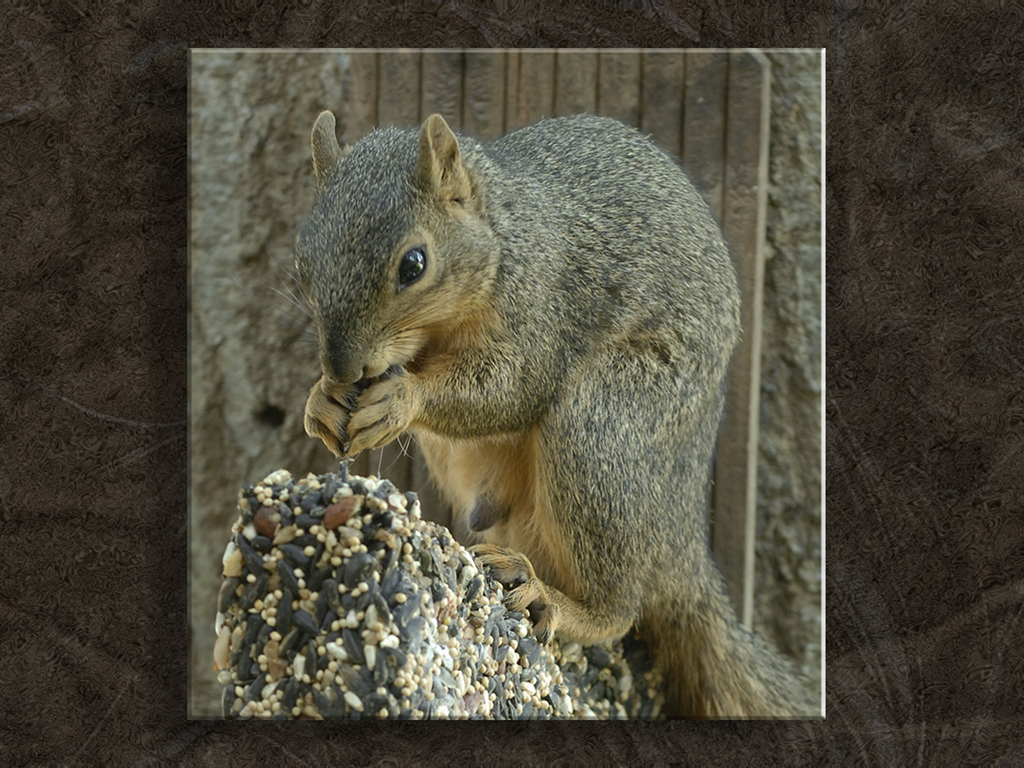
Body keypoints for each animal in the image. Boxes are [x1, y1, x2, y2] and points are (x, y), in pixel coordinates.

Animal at [294, 109, 815, 720]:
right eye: (304, 258)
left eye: (414, 265)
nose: (343, 368)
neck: (502, 235)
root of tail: (679, 531)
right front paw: (321, 401)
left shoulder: (544, 305)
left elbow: (512, 387)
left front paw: (403, 399)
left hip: (601, 429)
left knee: (621, 610)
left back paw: (560, 601)